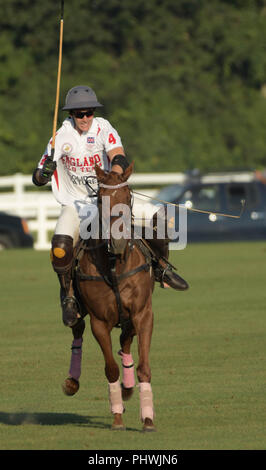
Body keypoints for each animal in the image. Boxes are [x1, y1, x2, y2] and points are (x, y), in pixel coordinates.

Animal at [62, 163, 156, 432]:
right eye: (101, 200)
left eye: (128, 197)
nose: (118, 242)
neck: (114, 263)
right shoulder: (99, 321)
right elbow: (110, 370)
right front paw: (117, 418)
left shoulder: (143, 314)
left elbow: (144, 368)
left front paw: (148, 419)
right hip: (79, 309)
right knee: (77, 328)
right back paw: (72, 381)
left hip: (129, 318)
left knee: (125, 340)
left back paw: (128, 389)